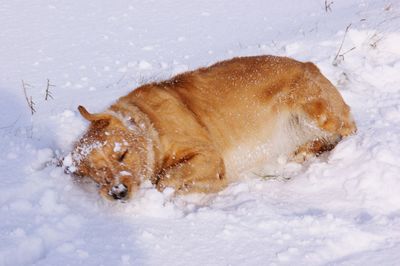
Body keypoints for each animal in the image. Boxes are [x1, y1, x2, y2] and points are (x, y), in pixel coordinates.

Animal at [68, 55, 356, 200]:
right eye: (97, 171)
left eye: (122, 155)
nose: (118, 193)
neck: (149, 127)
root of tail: (310, 65)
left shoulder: (209, 155)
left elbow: (166, 179)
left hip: (316, 111)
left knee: (349, 129)